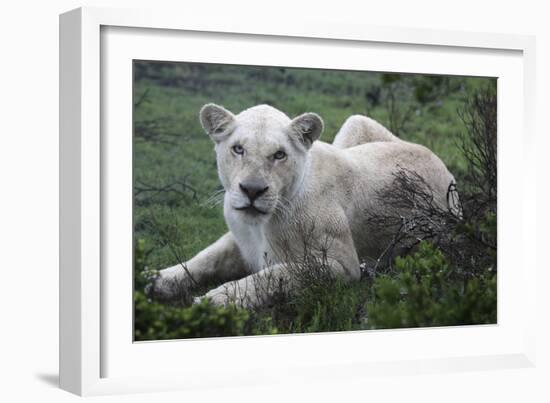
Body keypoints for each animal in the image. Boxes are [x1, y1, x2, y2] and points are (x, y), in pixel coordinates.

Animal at [149, 104, 460, 310]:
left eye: (279, 155)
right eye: (238, 149)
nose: (252, 190)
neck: (261, 225)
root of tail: (440, 162)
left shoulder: (344, 265)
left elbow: (276, 274)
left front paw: (216, 300)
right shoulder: (239, 241)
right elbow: (205, 258)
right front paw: (156, 279)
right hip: (355, 124)